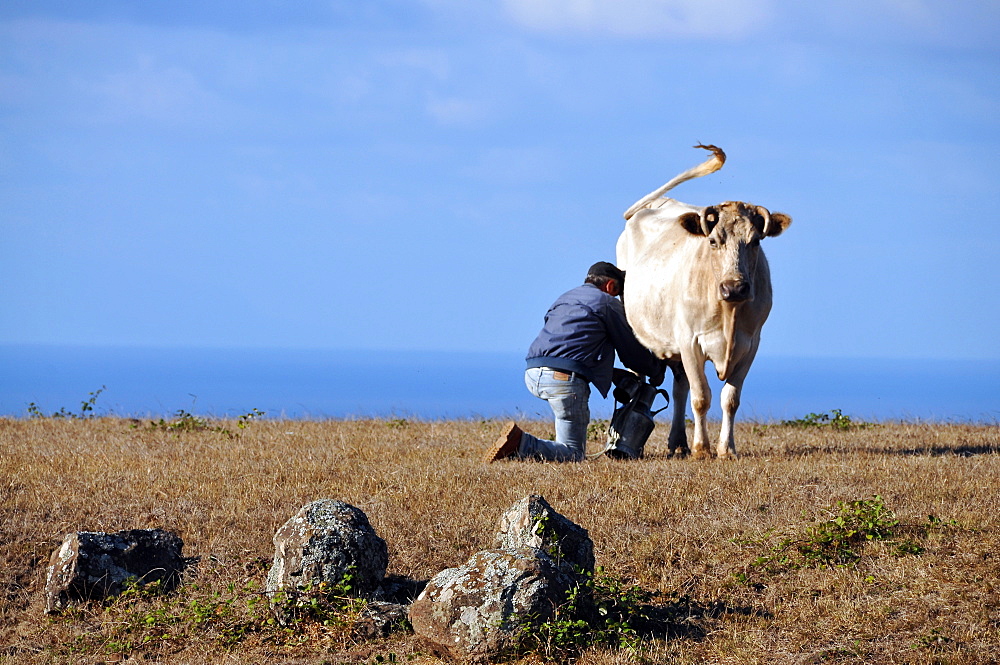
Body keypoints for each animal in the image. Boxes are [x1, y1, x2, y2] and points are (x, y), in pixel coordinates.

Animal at [612, 145, 792, 456]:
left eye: (755, 241)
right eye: (713, 241)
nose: (735, 287)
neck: (729, 312)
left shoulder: (751, 344)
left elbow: (730, 398)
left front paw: (726, 449)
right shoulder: (690, 341)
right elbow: (701, 397)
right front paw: (701, 449)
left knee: (679, 388)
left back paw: (678, 443)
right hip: (637, 333)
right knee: (642, 378)